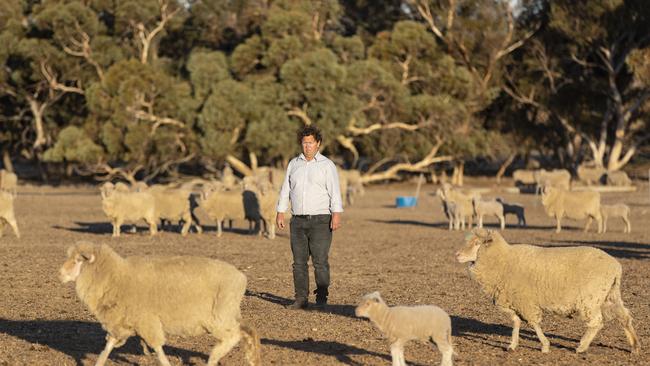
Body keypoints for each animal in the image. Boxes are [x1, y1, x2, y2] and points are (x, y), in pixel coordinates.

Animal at [58, 243, 260, 366]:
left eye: (77, 261)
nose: (60, 274)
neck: (116, 277)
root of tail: (241, 277)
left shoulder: (146, 320)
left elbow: (157, 348)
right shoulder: (123, 322)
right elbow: (108, 346)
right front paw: (99, 362)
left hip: (218, 316)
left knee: (233, 336)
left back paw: (214, 357)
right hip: (227, 314)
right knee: (247, 331)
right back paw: (251, 358)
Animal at [456, 229, 636, 354]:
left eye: (476, 243)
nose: (457, 255)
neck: (503, 260)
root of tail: (616, 267)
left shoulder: (526, 301)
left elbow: (534, 324)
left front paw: (545, 346)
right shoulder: (515, 301)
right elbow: (516, 322)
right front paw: (512, 345)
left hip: (590, 299)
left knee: (597, 323)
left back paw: (582, 346)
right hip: (609, 296)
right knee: (624, 317)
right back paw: (634, 346)